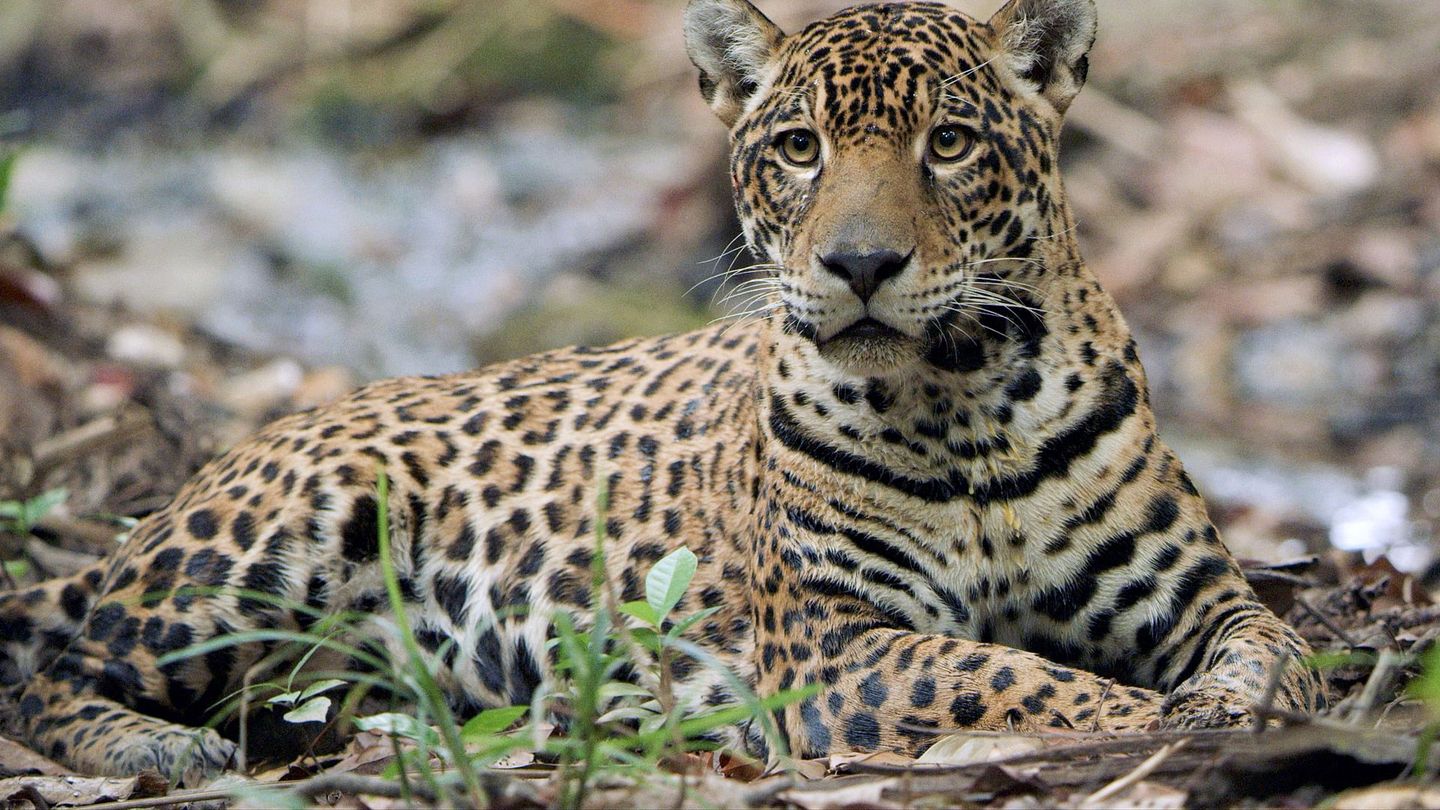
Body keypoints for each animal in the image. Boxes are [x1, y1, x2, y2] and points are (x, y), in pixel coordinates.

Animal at [0, 0, 1322, 786]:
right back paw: (154, 750)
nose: (860, 264)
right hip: (272, 544)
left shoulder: (1199, 591)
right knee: (52, 665)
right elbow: (1018, 678)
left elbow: (1278, 649)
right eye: (799, 150)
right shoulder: (838, 646)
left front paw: (1232, 705)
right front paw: (1151, 723)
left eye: (948, 144)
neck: (966, 402)